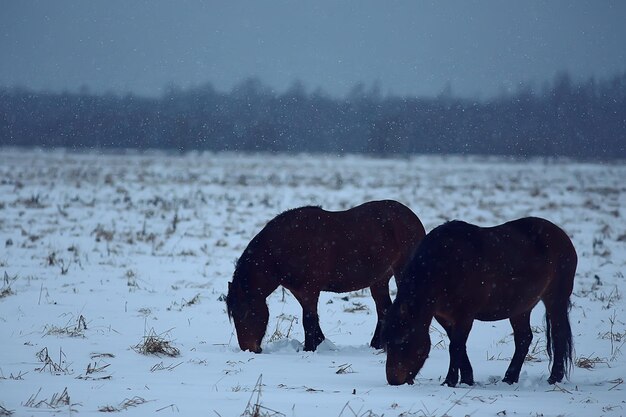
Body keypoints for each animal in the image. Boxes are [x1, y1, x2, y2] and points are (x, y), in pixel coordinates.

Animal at [224, 200, 424, 352]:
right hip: (379, 280)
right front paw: (321, 343)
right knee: (383, 309)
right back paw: (377, 346)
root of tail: (412, 217)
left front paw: (309, 349)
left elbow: (308, 319)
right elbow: (313, 318)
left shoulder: (310, 289)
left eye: (247, 312)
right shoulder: (299, 291)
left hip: (401, 273)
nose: (249, 349)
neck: (285, 246)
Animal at [380, 216, 576, 386]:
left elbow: (455, 346)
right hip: (520, 308)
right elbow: (458, 346)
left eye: (403, 340)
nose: (393, 380)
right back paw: (509, 378)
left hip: (555, 299)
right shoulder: (444, 316)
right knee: (523, 339)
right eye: (387, 341)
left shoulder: (465, 315)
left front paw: (450, 381)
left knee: (558, 334)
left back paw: (554, 378)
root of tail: (562, 235)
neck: (444, 266)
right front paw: (467, 379)